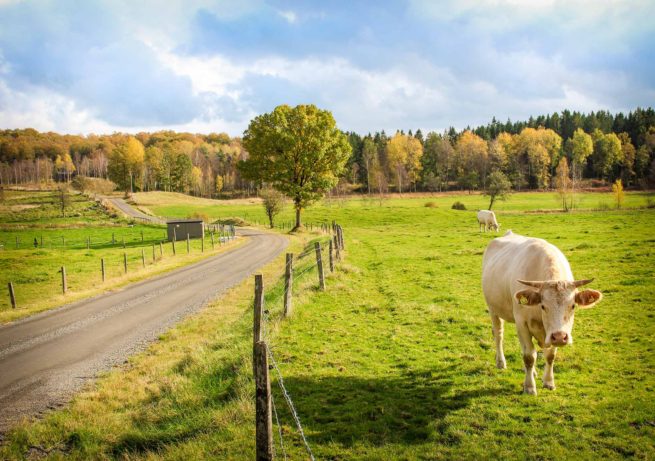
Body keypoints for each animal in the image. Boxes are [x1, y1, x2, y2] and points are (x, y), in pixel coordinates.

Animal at [481, 230, 602, 395]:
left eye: (572, 306)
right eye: (543, 306)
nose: (560, 337)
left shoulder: (550, 333)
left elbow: (550, 356)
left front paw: (549, 382)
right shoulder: (522, 323)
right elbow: (529, 357)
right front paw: (529, 387)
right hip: (494, 309)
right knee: (499, 335)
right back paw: (501, 362)